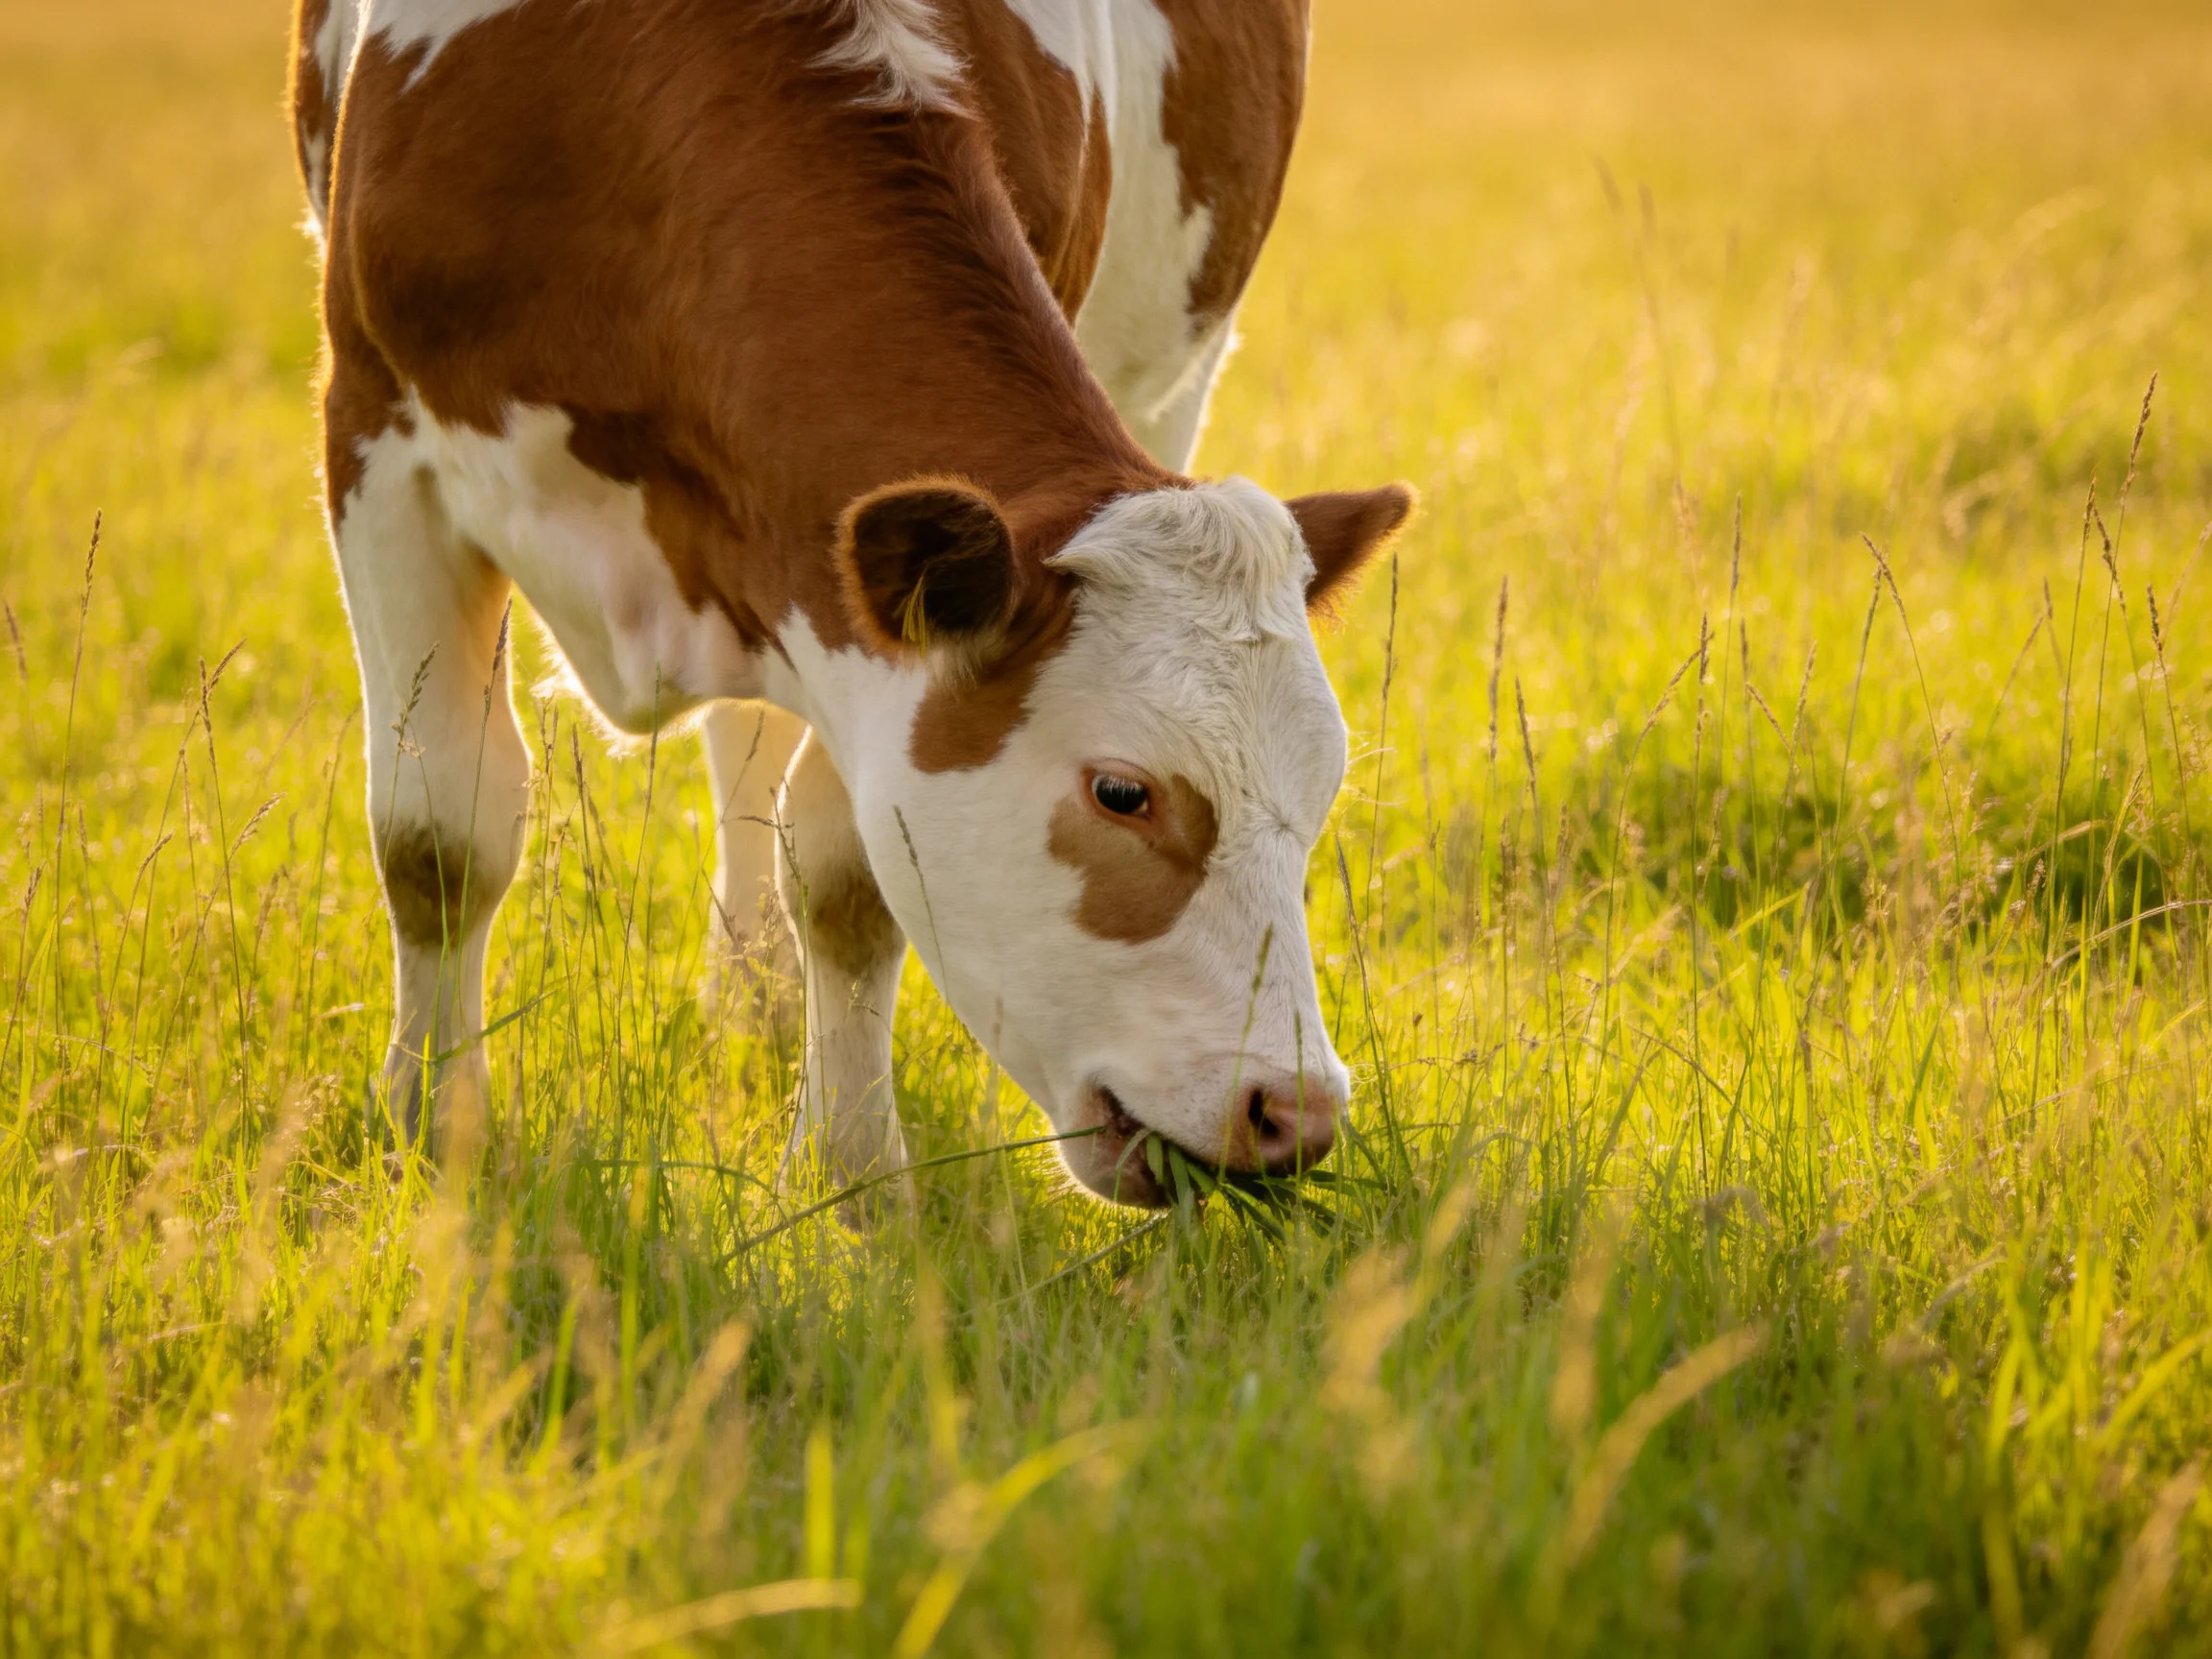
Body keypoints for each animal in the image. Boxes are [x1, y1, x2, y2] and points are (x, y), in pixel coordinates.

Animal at [288, 0, 1413, 1207]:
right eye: (1124, 793)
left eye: (1322, 794)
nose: (1294, 1113)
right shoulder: (376, 433)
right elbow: (436, 836)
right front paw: (428, 1133)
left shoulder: (851, 607)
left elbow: (845, 877)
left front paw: (854, 1179)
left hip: (1170, 381)